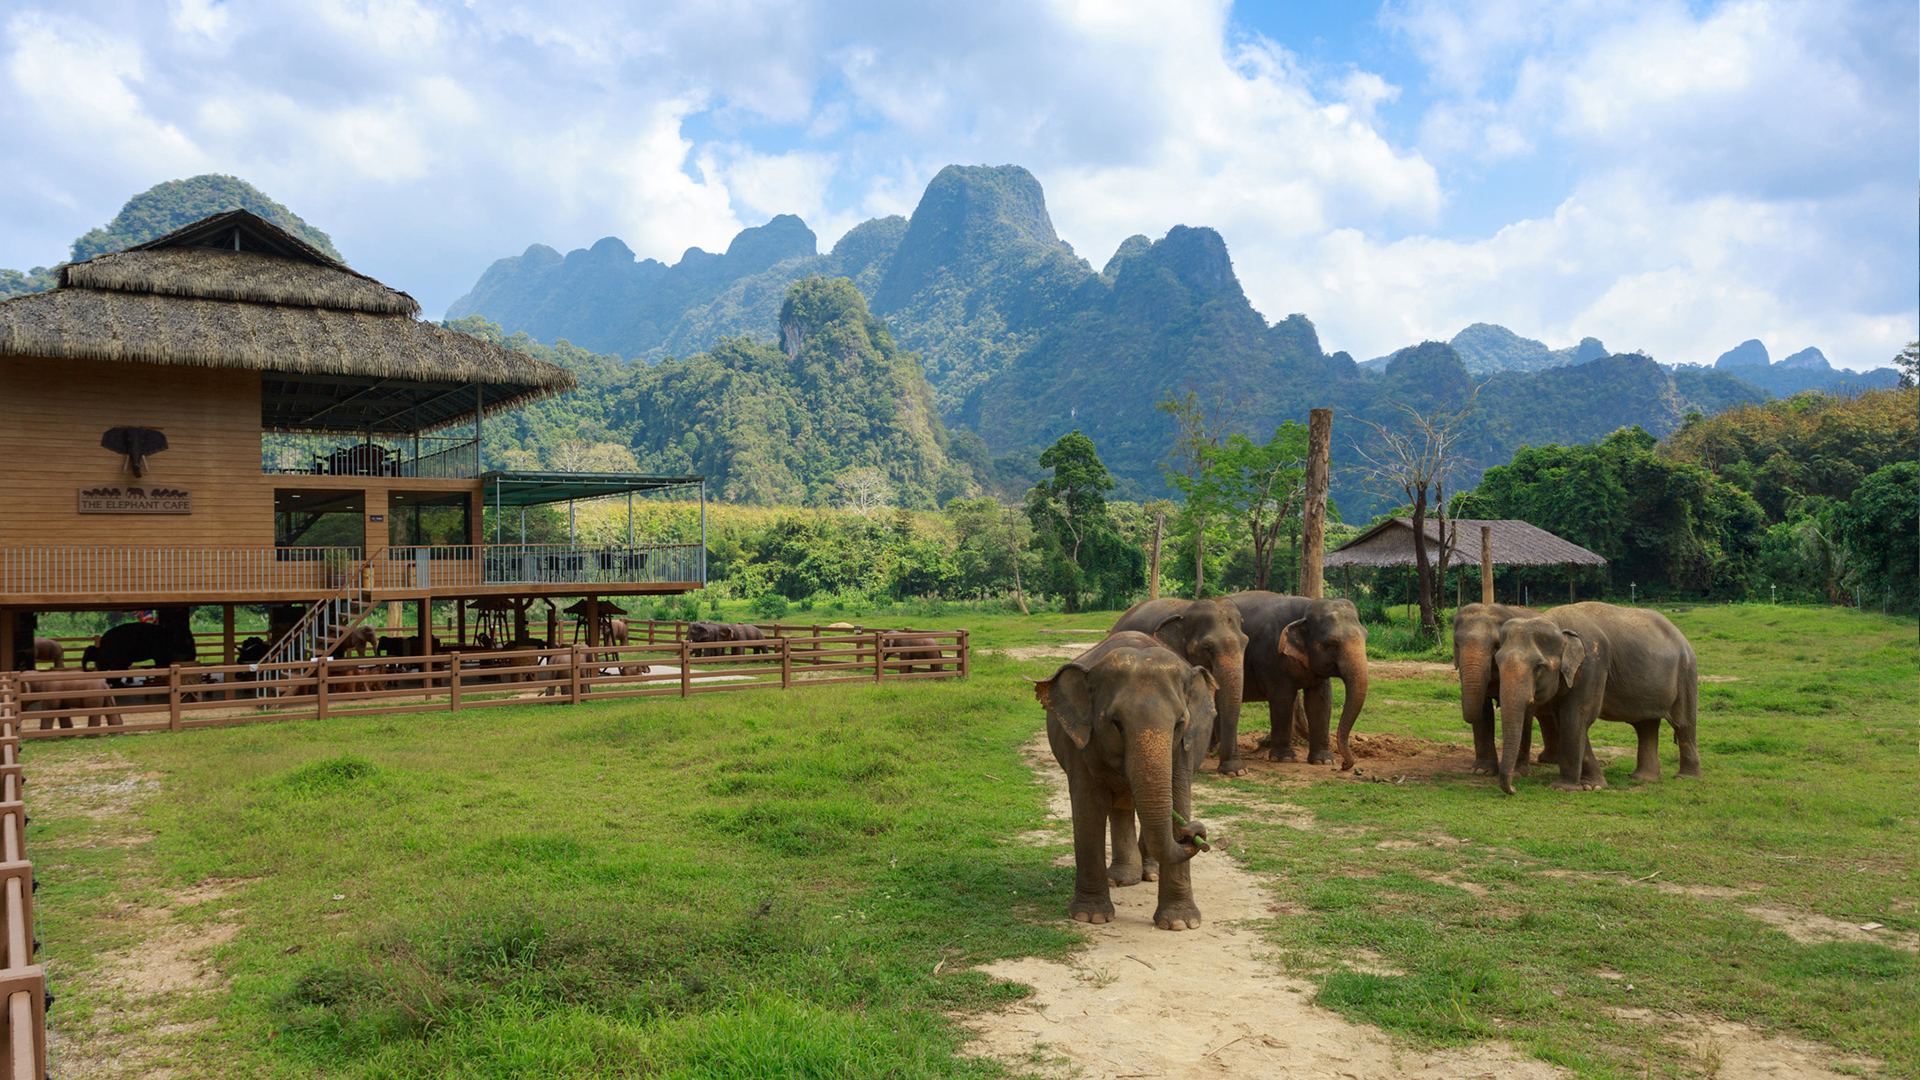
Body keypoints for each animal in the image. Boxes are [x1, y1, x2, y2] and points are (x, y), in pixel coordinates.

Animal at [1035, 631, 1216, 930]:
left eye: (1180, 722)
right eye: (1116, 723)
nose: (1196, 835)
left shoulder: (1184, 748)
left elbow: (1178, 797)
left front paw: (1181, 924)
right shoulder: (1081, 744)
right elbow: (1088, 808)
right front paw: (1091, 917)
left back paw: (1149, 874)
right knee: (1120, 806)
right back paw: (1121, 879)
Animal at [1227, 593, 1369, 770]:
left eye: (1366, 635)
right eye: (1332, 642)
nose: (1344, 765)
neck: (1305, 608)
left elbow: (1321, 700)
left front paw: (1324, 761)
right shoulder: (1271, 658)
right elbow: (1283, 699)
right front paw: (1284, 758)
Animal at [1453, 603, 1558, 775]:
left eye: (1497, 645)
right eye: (1456, 644)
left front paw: (1518, 772)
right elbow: (1484, 710)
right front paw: (1482, 771)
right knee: (1546, 716)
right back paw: (1548, 759)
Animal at [1494, 602, 1701, 794]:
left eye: (1539, 666)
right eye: (1497, 661)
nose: (1513, 788)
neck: (1556, 623)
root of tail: (1681, 634)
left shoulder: (1593, 664)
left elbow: (1576, 717)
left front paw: (1564, 788)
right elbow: (1564, 719)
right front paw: (1592, 785)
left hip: (1686, 673)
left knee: (1683, 724)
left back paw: (1685, 777)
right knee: (1646, 726)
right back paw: (1644, 778)